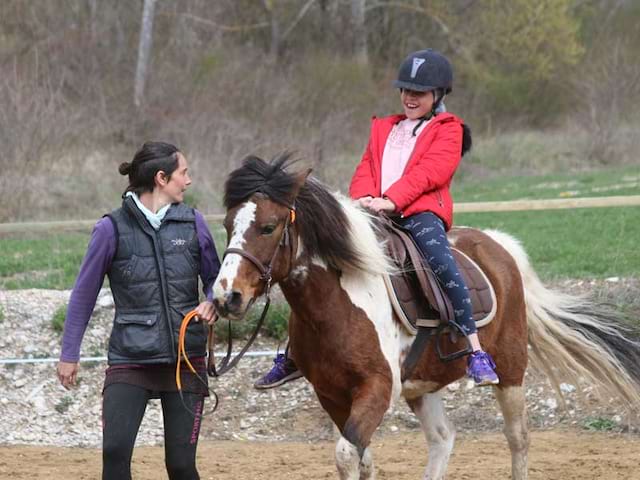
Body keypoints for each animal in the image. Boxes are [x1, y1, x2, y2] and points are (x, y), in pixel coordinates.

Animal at [211, 155, 640, 480]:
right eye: (228, 225)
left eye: (268, 227)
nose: (225, 296)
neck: (337, 303)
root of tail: (500, 246)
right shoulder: (330, 393)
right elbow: (362, 458)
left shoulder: (377, 389)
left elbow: (347, 455)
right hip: (423, 384)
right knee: (442, 438)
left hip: (511, 369)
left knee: (518, 438)